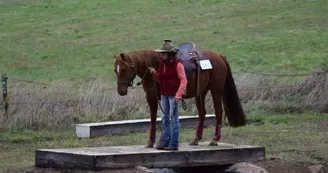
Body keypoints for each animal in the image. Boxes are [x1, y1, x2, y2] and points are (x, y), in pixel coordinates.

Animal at [113, 47, 246, 147]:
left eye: (123, 69)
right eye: (115, 70)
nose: (120, 91)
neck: (156, 65)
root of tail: (219, 56)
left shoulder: (163, 97)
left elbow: (165, 118)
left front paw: (161, 142)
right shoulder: (150, 97)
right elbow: (153, 119)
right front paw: (150, 142)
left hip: (216, 90)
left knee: (218, 112)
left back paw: (214, 139)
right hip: (201, 92)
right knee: (202, 113)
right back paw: (196, 139)